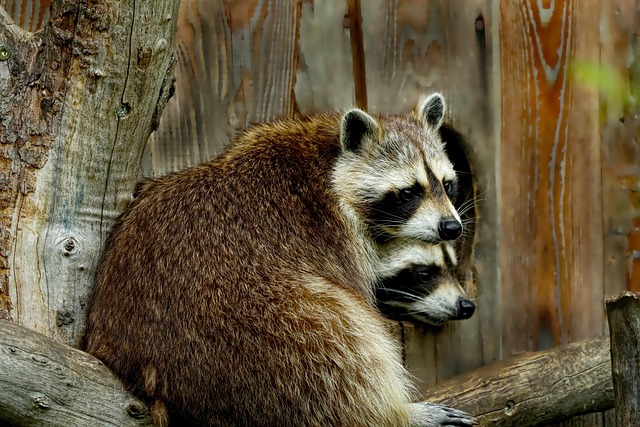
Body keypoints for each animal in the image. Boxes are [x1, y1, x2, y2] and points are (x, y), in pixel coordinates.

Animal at [83, 94, 476, 427]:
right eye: (409, 192)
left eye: (447, 184)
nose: (451, 227)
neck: (328, 159)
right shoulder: (335, 236)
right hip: (258, 329)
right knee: (341, 339)